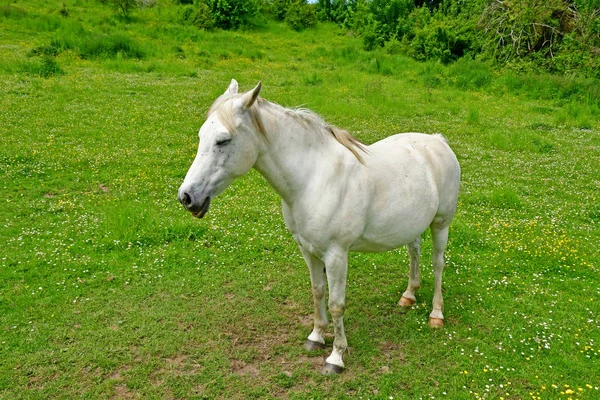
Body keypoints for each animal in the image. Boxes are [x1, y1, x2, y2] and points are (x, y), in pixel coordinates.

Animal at [178, 79, 460, 374]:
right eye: (201, 135)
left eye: (223, 140)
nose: (187, 197)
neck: (312, 178)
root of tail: (438, 141)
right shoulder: (308, 249)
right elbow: (317, 292)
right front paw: (315, 337)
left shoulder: (336, 255)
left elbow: (336, 304)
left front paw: (336, 357)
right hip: (413, 226)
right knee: (414, 252)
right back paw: (408, 295)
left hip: (441, 224)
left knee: (438, 264)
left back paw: (436, 314)